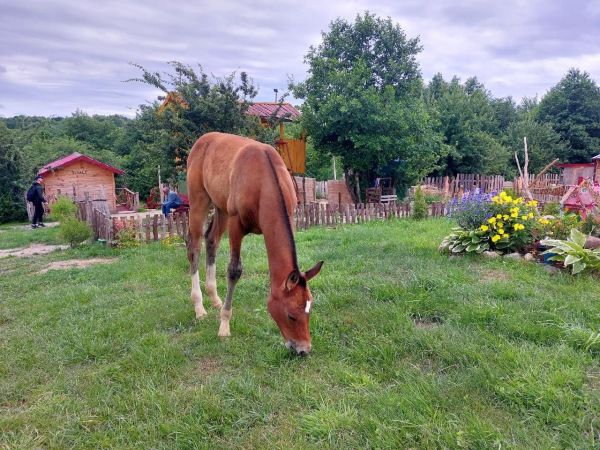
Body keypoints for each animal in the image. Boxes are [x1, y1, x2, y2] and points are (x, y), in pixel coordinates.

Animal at [185, 132, 324, 356]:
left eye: (309, 312)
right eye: (291, 315)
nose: (304, 350)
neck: (263, 182)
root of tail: (203, 140)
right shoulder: (236, 225)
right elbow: (234, 270)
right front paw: (224, 326)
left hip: (221, 207)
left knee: (211, 240)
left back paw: (214, 298)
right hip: (199, 200)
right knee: (194, 246)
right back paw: (199, 306)